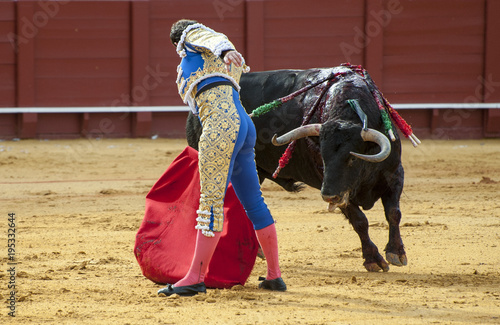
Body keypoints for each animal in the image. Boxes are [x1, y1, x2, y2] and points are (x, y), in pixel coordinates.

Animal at [188, 64, 410, 270]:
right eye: (323, 156)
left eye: (353, 159)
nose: (328, 196)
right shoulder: (333, 185)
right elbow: (360, 221)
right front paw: (373, 259)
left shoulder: (394, 174)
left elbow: (393, 213)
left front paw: (396, 252)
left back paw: (257, 250)